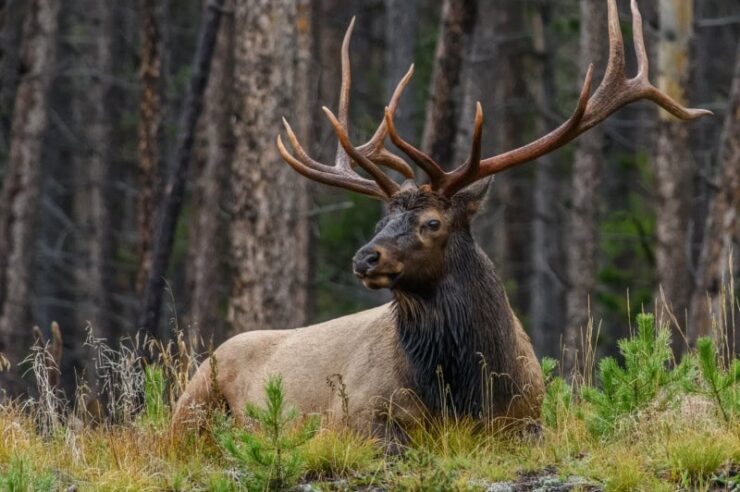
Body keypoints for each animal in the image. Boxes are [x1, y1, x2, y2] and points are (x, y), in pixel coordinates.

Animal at [171, 1, 708, 434]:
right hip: (190, 404)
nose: (365, 258)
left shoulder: (529, 419)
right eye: (379, 222)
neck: (464, 392)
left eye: (432, 222)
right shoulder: (353, 418)